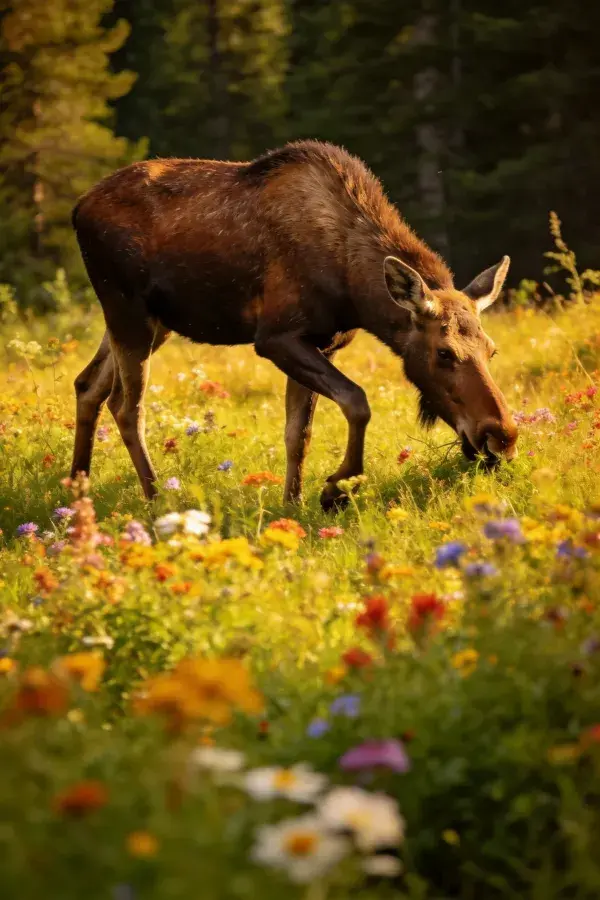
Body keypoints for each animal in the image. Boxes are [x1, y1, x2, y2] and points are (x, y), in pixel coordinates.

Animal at [70, 140, 518, 510]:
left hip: (153, 322)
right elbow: (357, 402)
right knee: (127, 406)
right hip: (127, 309)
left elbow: (298, 433)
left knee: (88, 385)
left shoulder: (325, 341)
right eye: (444, 352)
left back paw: (77, 488)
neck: (354, 291)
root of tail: (76, 210)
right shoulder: (275, 337)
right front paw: (336, 488)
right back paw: (155, 499)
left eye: (492, 349)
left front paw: (294, 501)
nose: (502, 436)